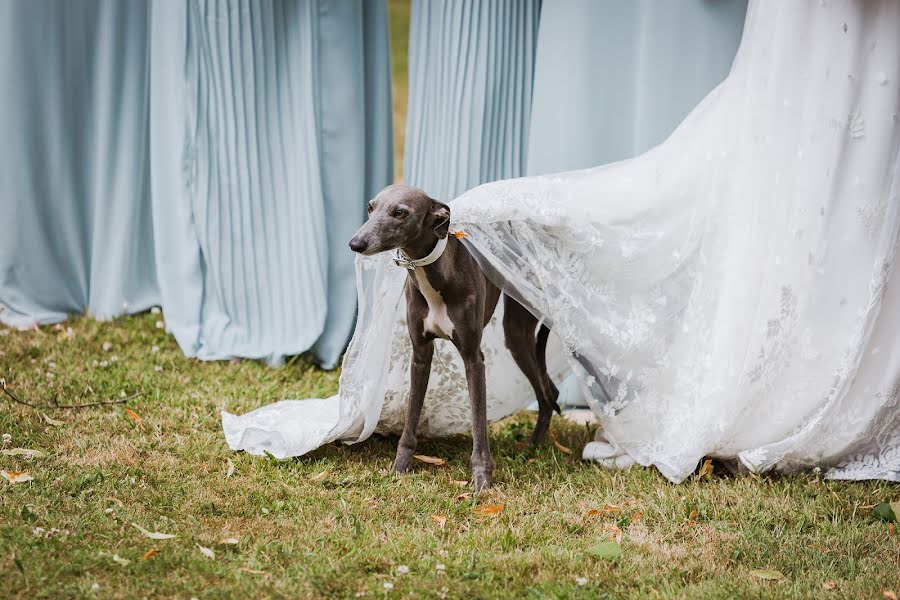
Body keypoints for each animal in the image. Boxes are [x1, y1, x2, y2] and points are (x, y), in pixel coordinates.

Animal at [348, 185, 560, 490]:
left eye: (400, 212)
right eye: (370, 207)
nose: (356, 243)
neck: (436, 274)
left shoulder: (473, 358)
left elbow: (478, 422)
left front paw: (482, 479)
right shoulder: (420, 354)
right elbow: (411, 417)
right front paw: (399, 468)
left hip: (518, 325)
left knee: (545, 394)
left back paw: (533, 449)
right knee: (550, 390)